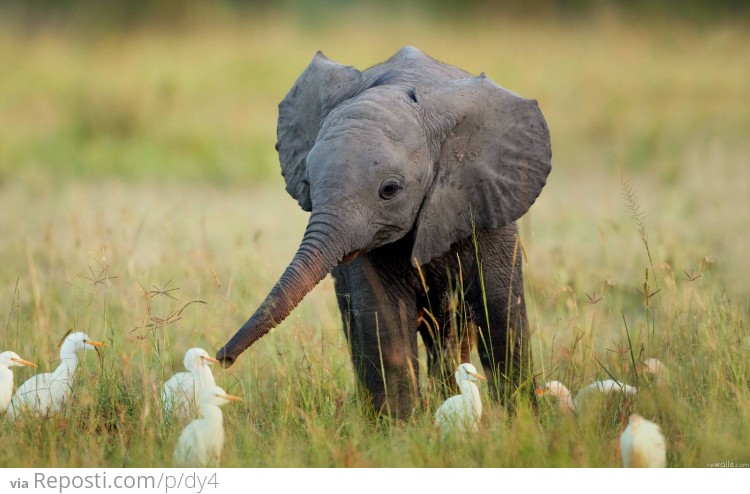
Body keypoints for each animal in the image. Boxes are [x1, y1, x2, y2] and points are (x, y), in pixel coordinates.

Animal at [217, 46, 552, 418]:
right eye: (307, 182)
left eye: (389, 190)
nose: (222, 359)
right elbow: (384, 318)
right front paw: (400, 428)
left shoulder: (486, 201)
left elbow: (501, 312)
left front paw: (524, 420)